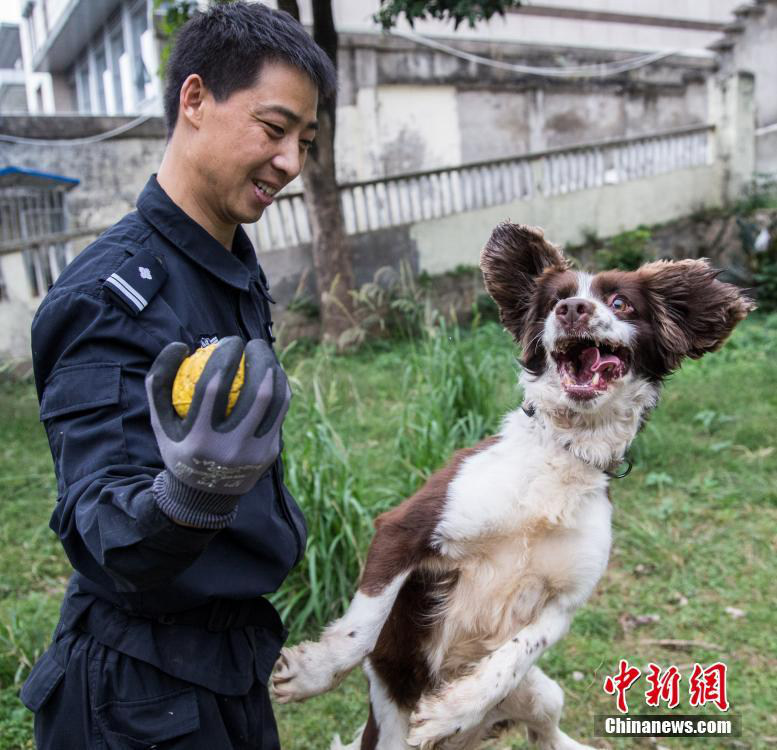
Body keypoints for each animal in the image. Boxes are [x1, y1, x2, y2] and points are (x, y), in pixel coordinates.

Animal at [272, 225, 752, 750]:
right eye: (555, 301)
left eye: (620, 302)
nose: (573, 310)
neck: (563, 453)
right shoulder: (405, 528)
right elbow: (362, 627)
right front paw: (312, 673)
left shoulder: (565, 601)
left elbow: (514, 654)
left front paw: (453, 709)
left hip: (542, 694)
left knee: (545, 730)